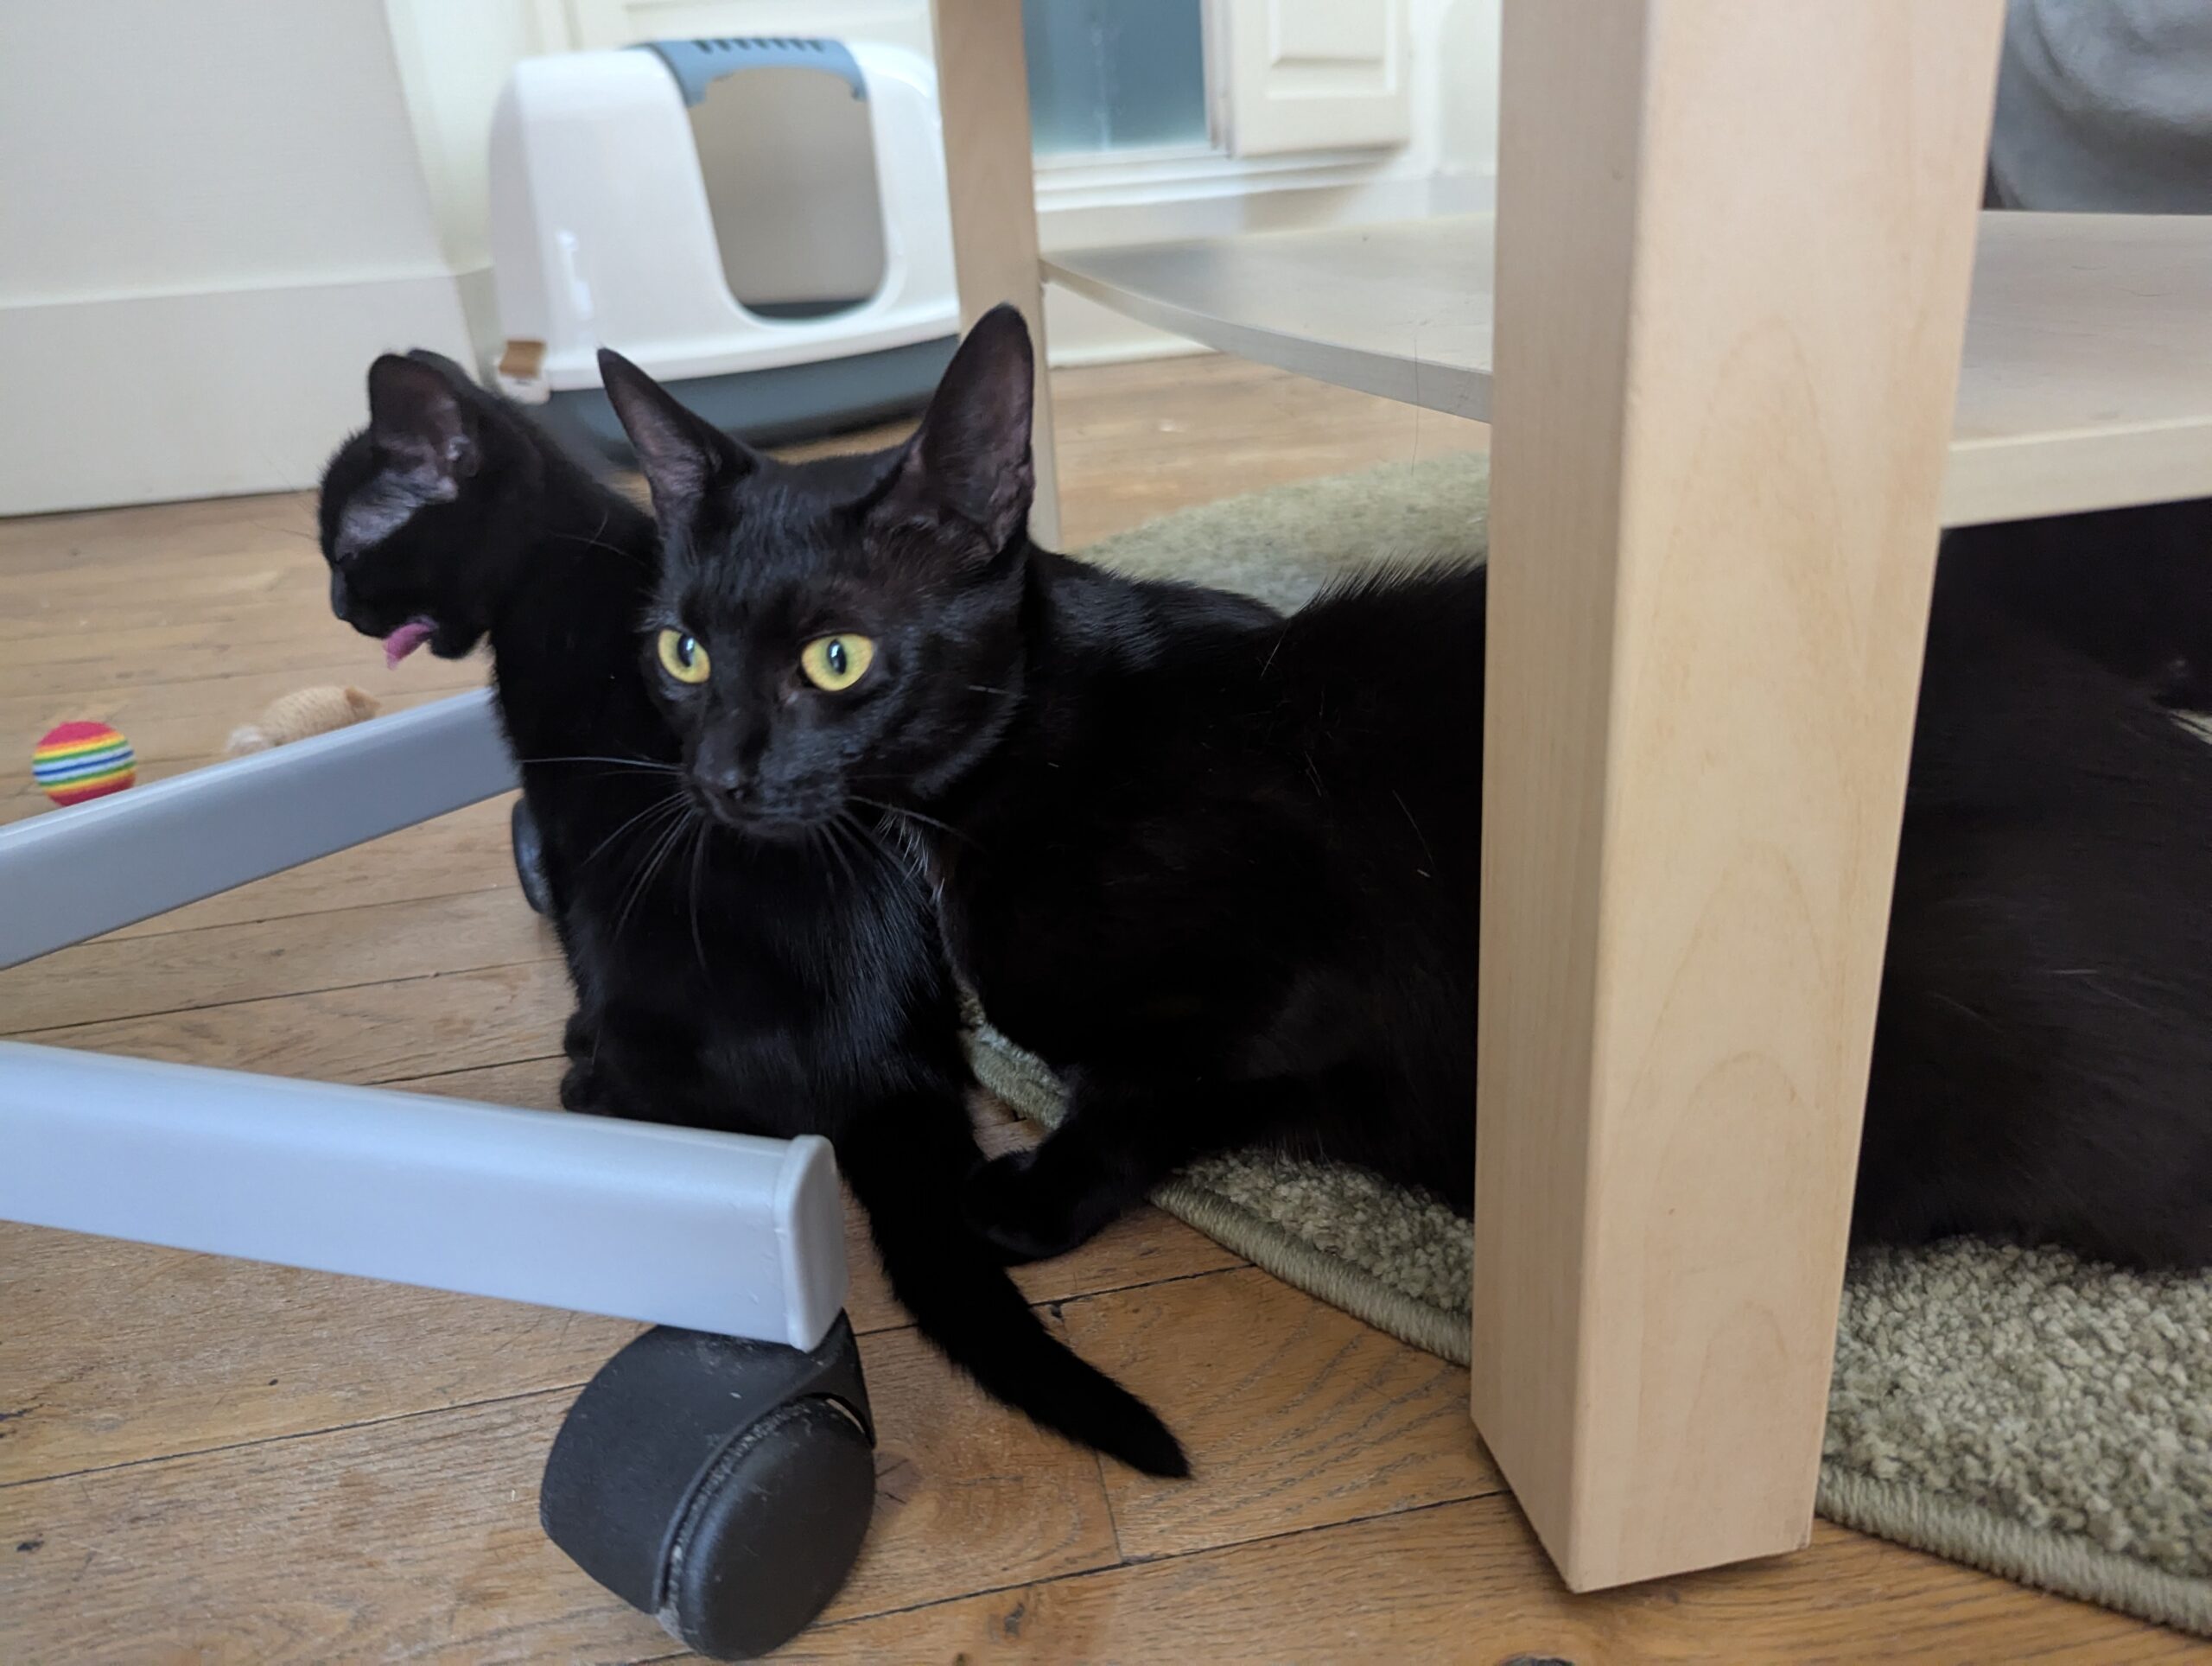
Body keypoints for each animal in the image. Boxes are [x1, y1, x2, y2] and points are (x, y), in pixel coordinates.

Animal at [318, 348, 1188, 1475]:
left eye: (349, 547)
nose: (336, 602)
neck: (561, 552)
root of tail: (886, 1067)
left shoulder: (566, 822)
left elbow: (569, 931)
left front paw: (578, 1035)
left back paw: (592, 1081)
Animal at [608, 303, 2212, 1272]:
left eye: (835, 657)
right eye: (682, 649)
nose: (721, 772)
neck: (1001, 790)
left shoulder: (1310, 972)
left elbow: (1149, 1083)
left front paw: (1029, 1189)